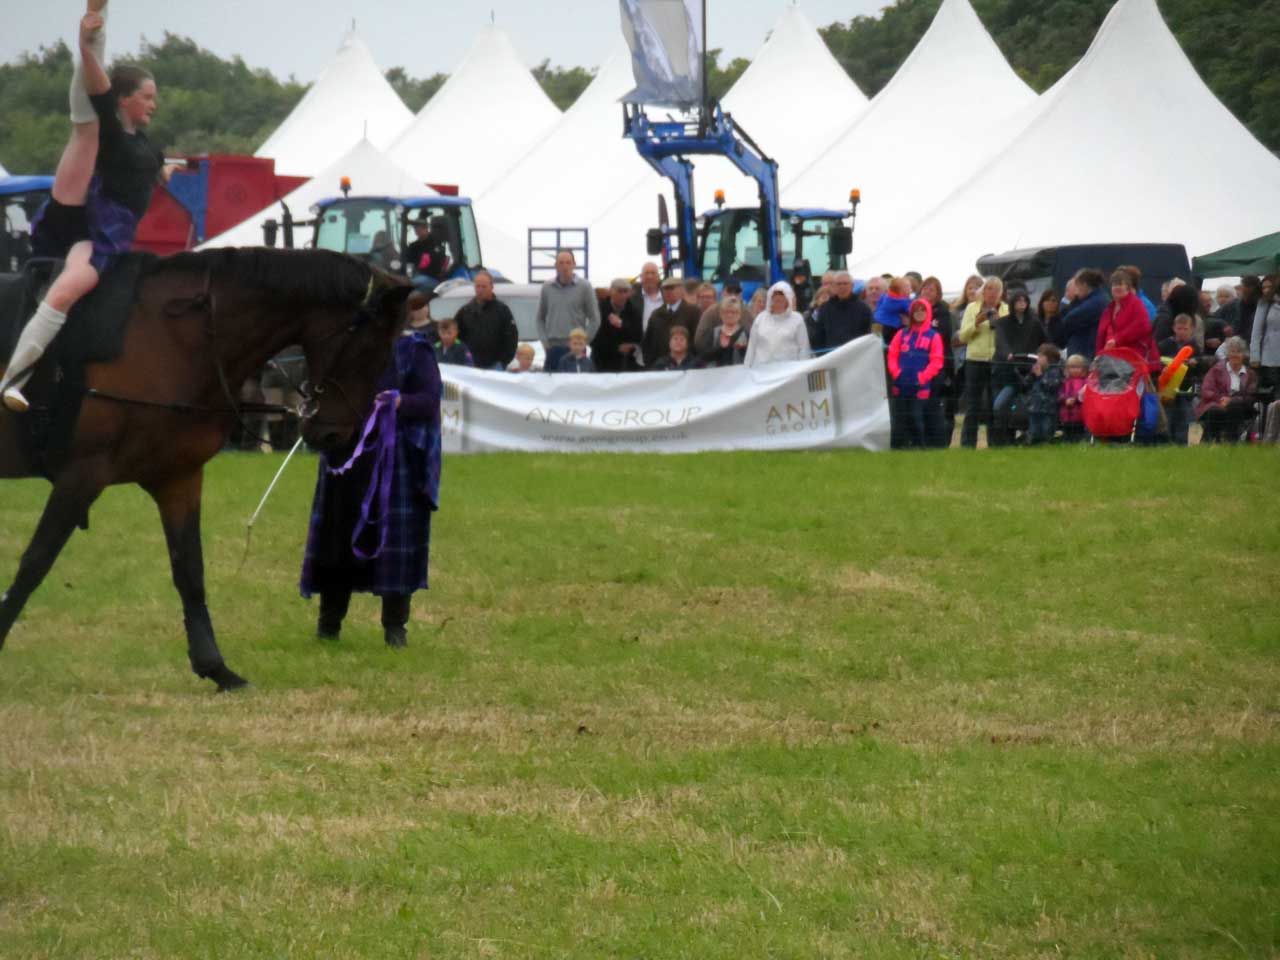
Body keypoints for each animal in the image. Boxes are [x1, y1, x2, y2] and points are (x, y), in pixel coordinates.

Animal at [0, 248, 409, 691]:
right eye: (370, 350)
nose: (336, 436)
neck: (172, 337)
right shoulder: (83, 474)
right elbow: (35, 562)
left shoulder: (178, 478)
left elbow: (190, 571)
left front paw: (215, 667)